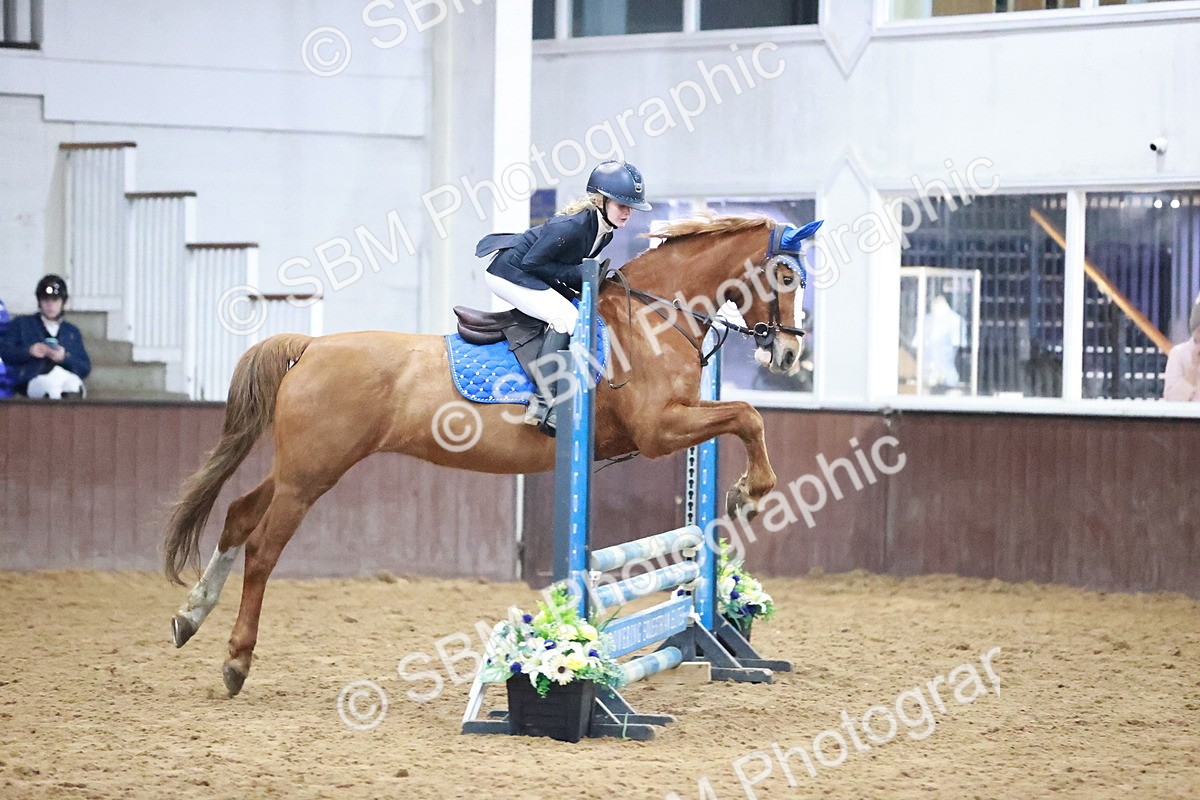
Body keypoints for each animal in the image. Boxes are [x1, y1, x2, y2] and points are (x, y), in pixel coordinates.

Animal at [164, 214, 815, 696]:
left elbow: (742, 418)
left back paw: (190, 617)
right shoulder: (660, 429)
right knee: (263, 550)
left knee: (239, 514)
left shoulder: (674, 422)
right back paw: (235, 662)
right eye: (786, 274)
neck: (654, 318)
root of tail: (311, 346)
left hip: (301, 467)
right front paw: (749, 494)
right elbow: (748, 416)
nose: (787, 354)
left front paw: (744, 494)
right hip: (311, 473)